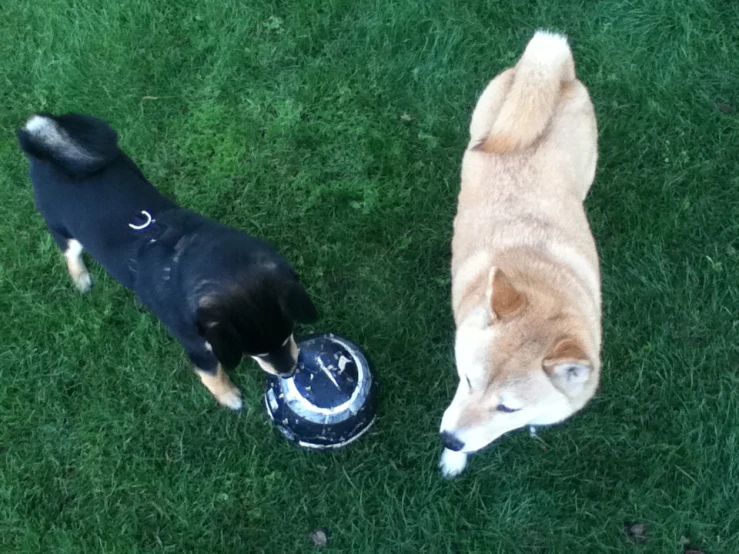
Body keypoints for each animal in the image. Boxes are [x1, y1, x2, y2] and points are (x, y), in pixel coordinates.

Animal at [17, 113, 318, 406]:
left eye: (289, 333)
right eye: (254, 352)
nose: (290, 371)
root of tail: (43, 140)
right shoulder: (198, 345)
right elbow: (211, 373)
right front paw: (229, 397)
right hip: (63, 230)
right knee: (70, 252)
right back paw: (81, 278)